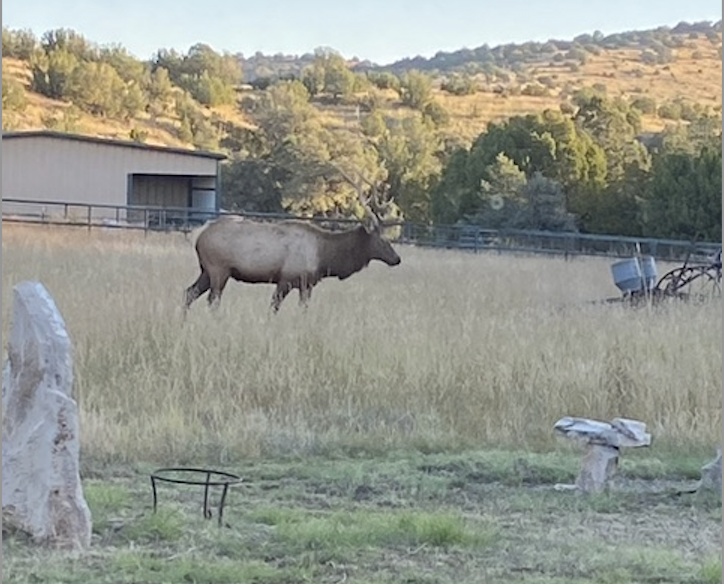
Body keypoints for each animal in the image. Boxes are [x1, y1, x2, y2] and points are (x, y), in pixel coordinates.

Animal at [184, 167, 402, 312]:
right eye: (382, 240)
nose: (397, 259)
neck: (324, 258)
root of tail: (199, 233)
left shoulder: (306, 285)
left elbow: (303, 310)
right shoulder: (286, 279)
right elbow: (273, 307)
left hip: (206, 270)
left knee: (189, 292)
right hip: (219, 269)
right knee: (212, 300)